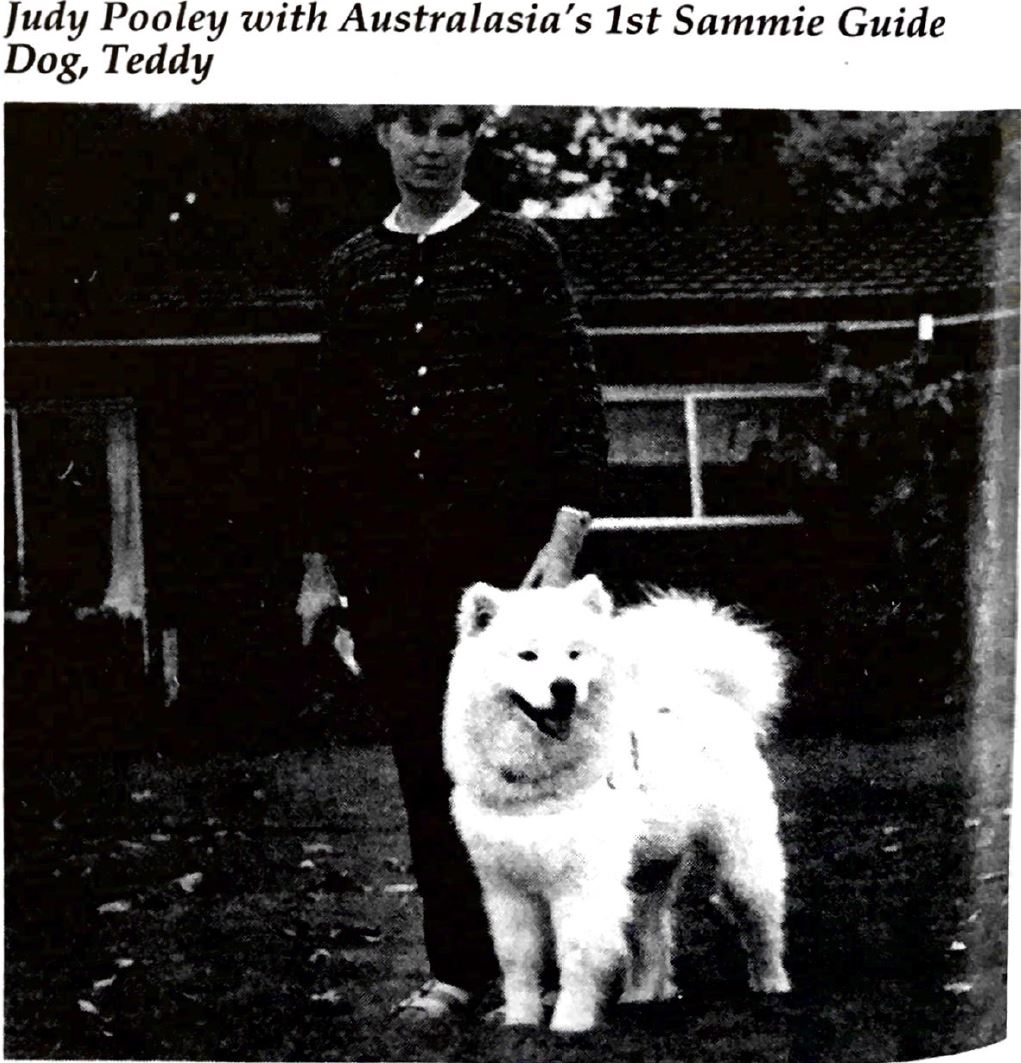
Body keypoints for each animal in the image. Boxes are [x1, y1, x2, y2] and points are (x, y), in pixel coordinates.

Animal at [444, 578, 791, 1033]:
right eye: (528, 656)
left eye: (575, 655)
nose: (564, 686)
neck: (539, 788)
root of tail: (704, 691)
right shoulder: (506, 885)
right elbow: (518, 960)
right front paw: (520, 1021)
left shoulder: (583, 883)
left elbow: (576, 954)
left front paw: (570, 1022)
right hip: (647, 870)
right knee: (651, 934)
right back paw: (644, 993)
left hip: (740, 858)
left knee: (760, 919)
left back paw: (771, 982)